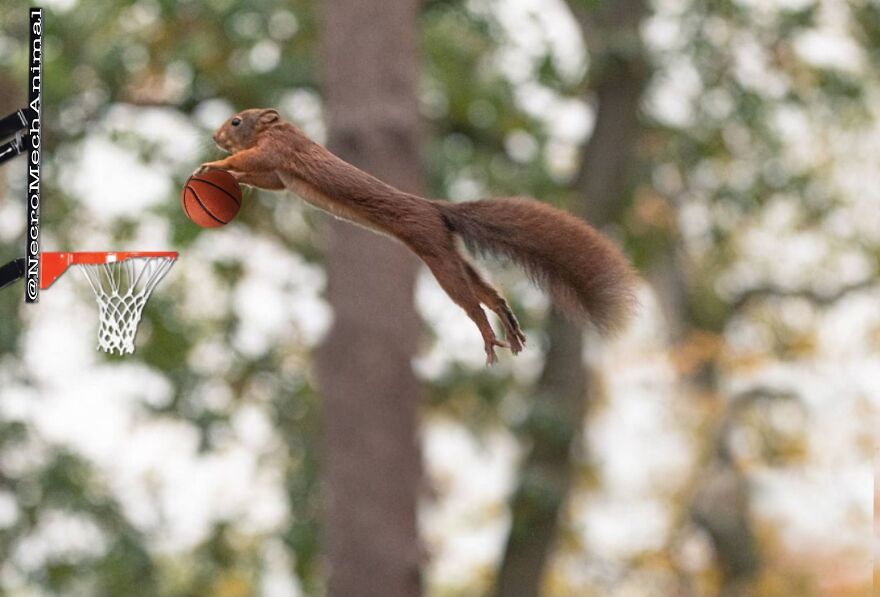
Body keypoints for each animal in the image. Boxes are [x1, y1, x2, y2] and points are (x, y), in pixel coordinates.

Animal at [197, 108, 637, 364]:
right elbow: (267, 180)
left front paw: (215, 165)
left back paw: (489, 339)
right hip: (449, 252)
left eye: (237, 121)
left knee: (471, 303)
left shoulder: (277, 151)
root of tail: (436, 209)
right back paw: (509, 327)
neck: (284, 129)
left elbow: (253, 160)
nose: (216, 136)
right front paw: (230, 177)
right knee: (487, 291)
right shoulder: (278, 173)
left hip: (436, 256)